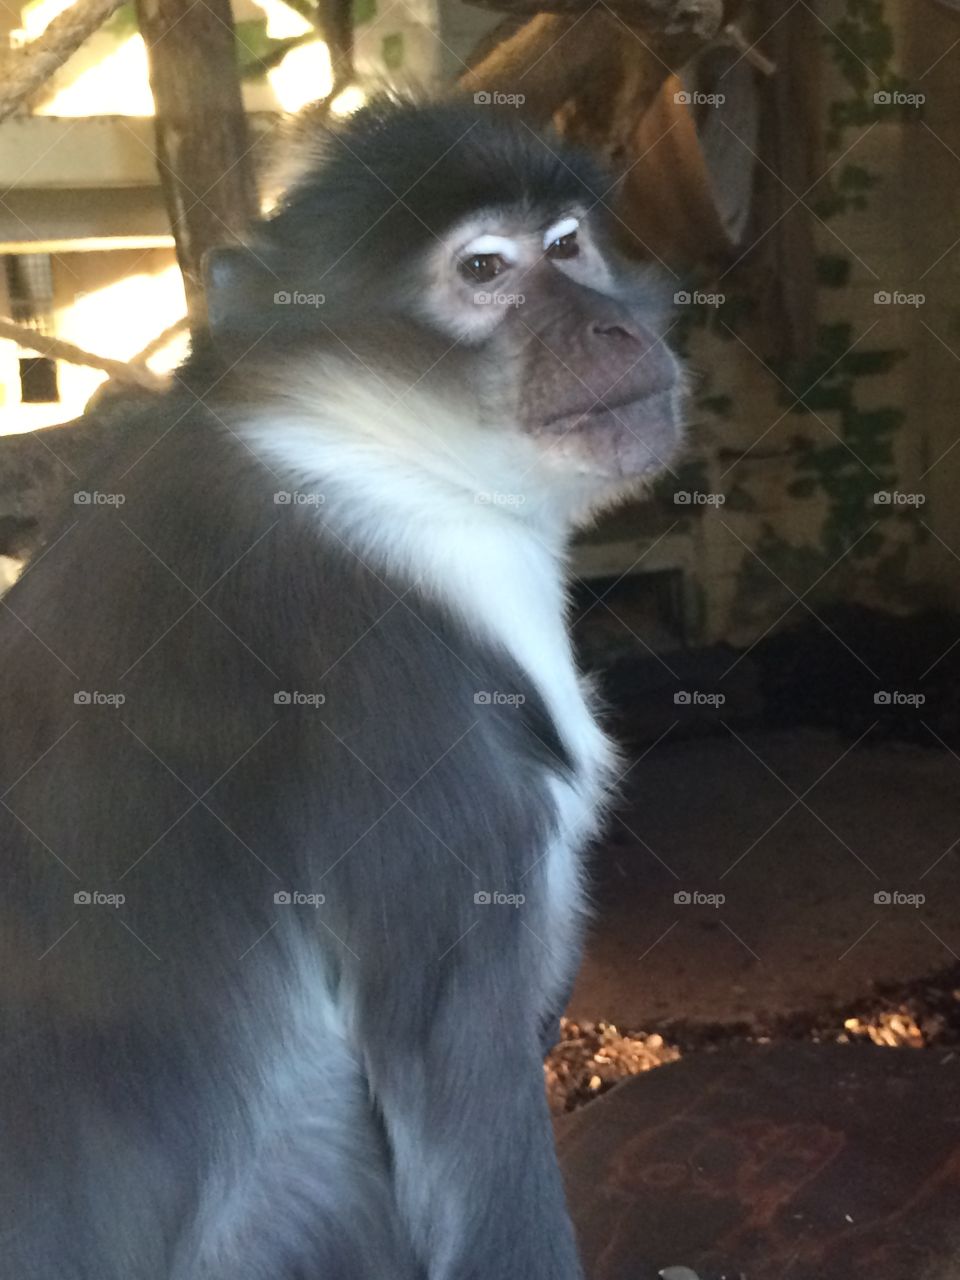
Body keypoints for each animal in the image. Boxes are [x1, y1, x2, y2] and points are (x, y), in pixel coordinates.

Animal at [0, 94, 686, 1274]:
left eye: (567, 247)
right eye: (485, 269)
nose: (613, 328)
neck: (358, 453)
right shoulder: (408, 728)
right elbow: (459, 1088)